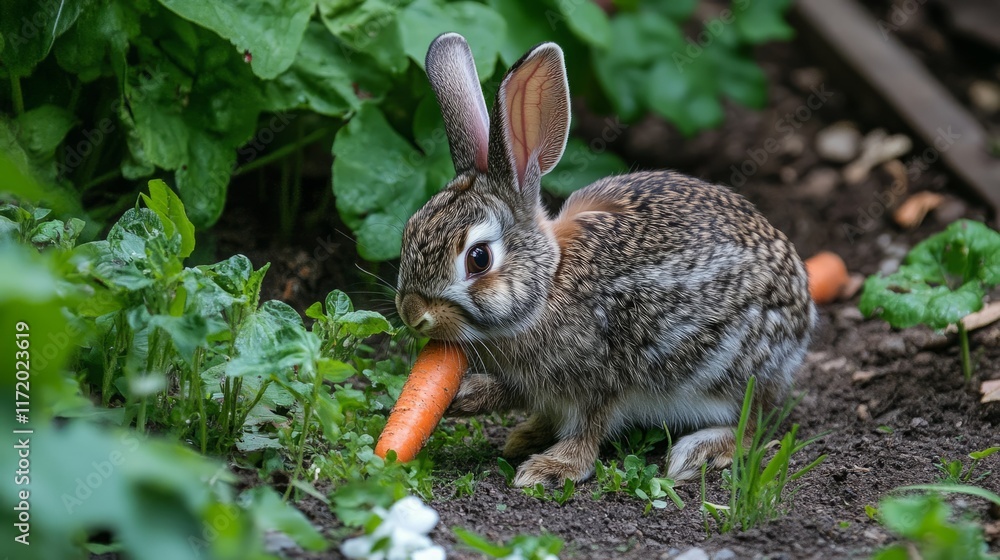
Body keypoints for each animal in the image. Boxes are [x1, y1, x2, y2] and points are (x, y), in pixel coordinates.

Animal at [394, 32, 817, 487]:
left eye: (478, 258)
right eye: (409, 228)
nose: (413, 313)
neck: (549, 284)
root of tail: (803, 316)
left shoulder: (600, 381)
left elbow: (590, 428)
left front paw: (551, 469)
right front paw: (466, 399)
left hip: (732, 372)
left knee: (754, 425)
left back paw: (696, 453)